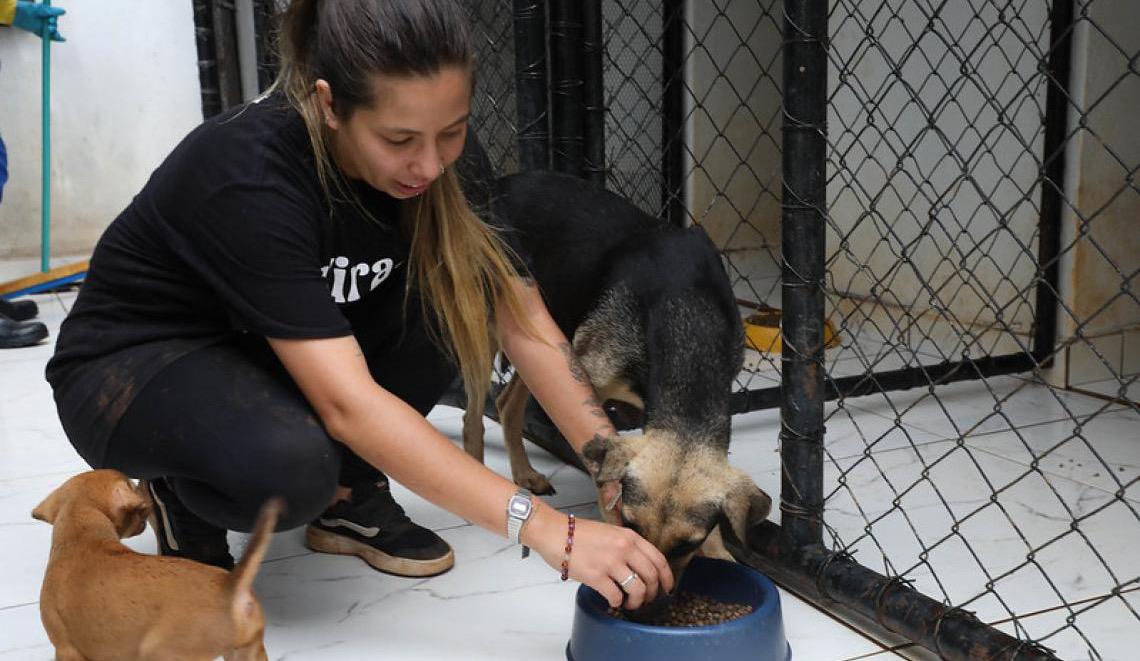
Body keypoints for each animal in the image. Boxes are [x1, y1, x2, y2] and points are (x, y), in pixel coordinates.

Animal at [32, 469, 281, 660]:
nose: (144, 497)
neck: (82, 534)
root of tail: (230, 585)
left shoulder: (66, 649)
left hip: (161, 654)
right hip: (247, 652)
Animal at [462, 172, 775, 583]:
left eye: (687, 546)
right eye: (631, 525)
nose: (653, 599)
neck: (689, 322)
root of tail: (497, 182)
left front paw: (720, 551)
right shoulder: (584, 379)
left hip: (540, 329)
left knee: (506, 402)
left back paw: (524, 473)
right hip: (490, 326)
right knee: (473, 412)